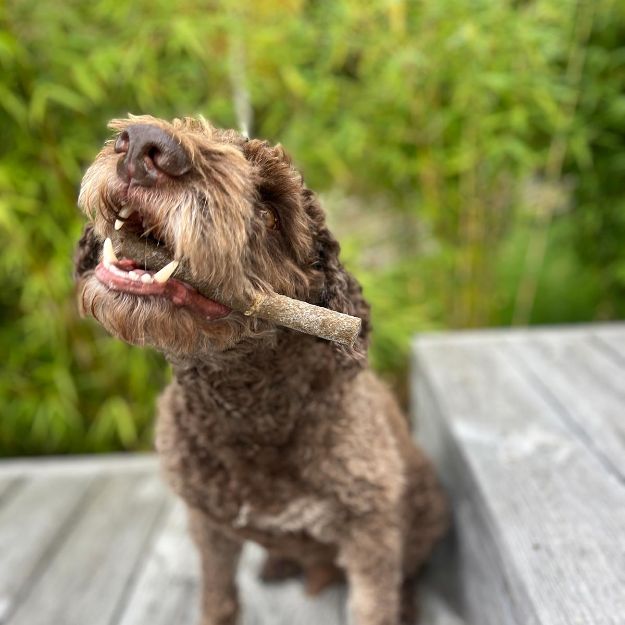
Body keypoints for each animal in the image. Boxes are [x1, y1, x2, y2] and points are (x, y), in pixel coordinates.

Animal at [74, 116, 448, 624]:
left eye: (270, 211)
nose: (143, 146)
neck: (250, 412)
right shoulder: (210, 524)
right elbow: (218, 599)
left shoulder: (370, 530)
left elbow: (374, 605)